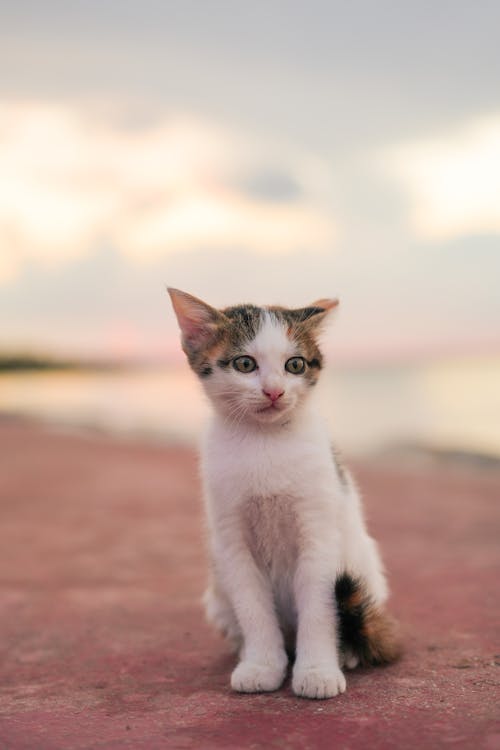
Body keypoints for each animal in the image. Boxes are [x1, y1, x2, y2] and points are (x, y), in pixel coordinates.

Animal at [167, 288, 398, 700]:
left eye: (295, 365)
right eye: (245, 364)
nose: (274, 391)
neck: (265, 441)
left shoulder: (319, 533)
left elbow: (321, 607)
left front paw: (318, 671)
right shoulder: (230, 539)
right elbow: (253, 607)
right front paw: (261, 665)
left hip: (365, 571)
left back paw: (348, 652)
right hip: (217, 594)